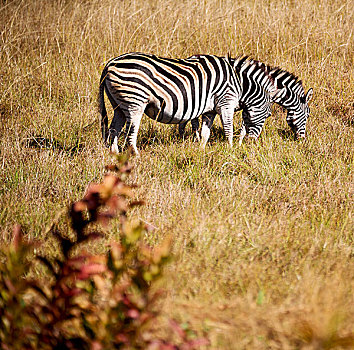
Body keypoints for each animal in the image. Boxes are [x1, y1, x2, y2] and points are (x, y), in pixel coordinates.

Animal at [98, 51, 242, 154]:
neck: (239, 81)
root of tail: (109, 64)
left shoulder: (209, 108)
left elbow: (205, 131)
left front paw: (200, 148)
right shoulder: (226, 101)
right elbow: (228, 128)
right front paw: (231, 149)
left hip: (118, 105)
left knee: (114, 130)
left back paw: (116, 155)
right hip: (134, 101)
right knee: (130, 134)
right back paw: (136, 157)